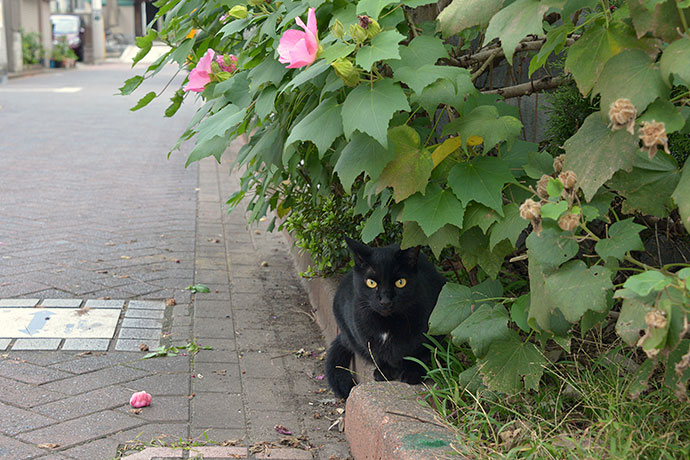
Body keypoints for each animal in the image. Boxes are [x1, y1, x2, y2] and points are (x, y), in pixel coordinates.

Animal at [324, 237, 444, 398]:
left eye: (400, 282)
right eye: (371, 282)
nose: (385, 301)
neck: (388, 324)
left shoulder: (432, 329)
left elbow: (422, 353)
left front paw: (413, 373)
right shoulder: (363, 335)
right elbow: (377, 353)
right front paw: (384, 371)